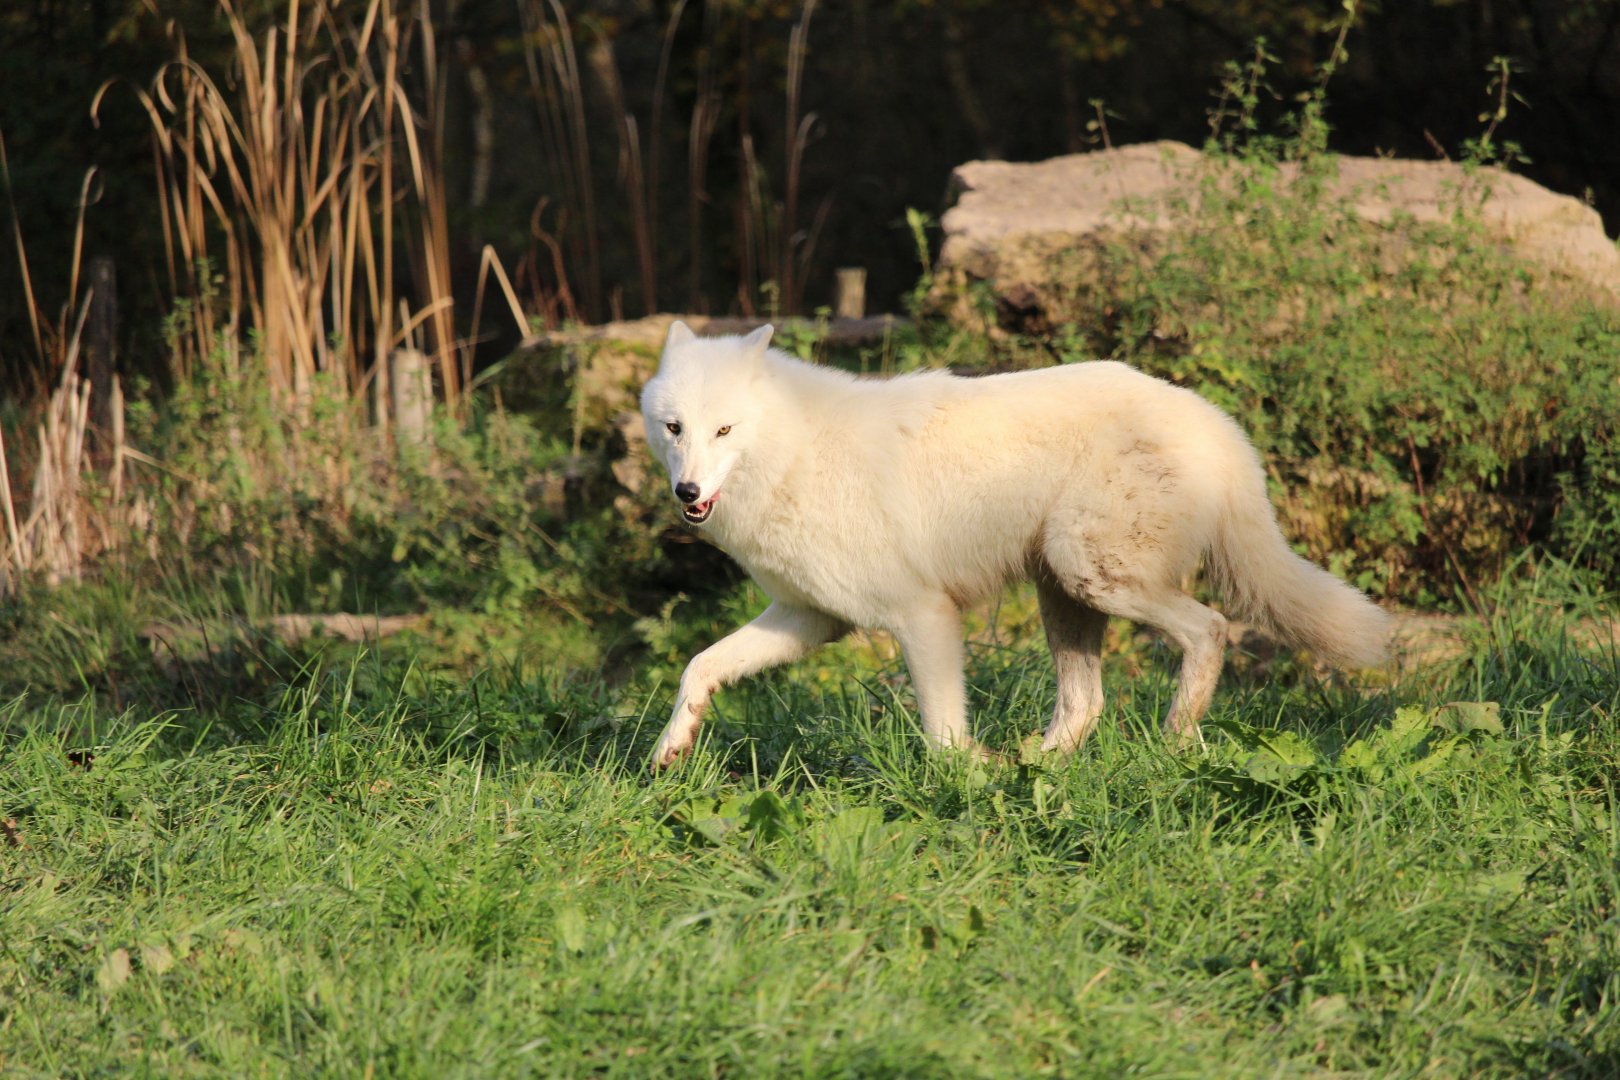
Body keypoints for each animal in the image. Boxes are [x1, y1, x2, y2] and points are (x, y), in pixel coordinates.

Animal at [639, 321, 1389, 768]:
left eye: (725, 430)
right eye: (675, 428)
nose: (688, 492)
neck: (794, 451)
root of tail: (1220, 426)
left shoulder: (924, 615)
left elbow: (943, 737)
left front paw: (961, 786)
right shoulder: (809, 618)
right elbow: (699, 666)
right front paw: (671, 748)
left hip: (1093, 575)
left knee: (1211, 630)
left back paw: (1175, 740)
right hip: (1065, 592)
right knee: (1088, 703)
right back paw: (1037, 768)